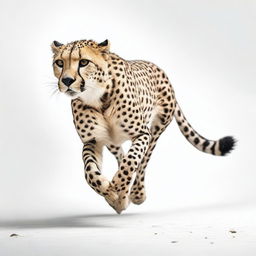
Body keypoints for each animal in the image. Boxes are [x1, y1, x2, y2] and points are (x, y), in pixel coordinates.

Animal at [50, 39, 236, 213]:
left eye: (83, 62)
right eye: (59, 63)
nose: (67, 80)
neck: (97, 96)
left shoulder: (142, 134)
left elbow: (131, 161)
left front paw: (118, 183)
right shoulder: (93, 141)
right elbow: (89, 171)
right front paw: (108, 190)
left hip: (157, 127)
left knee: (143, 160)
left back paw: (135, 193)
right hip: (112, 142)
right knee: (121, 155)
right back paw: (119, 198)